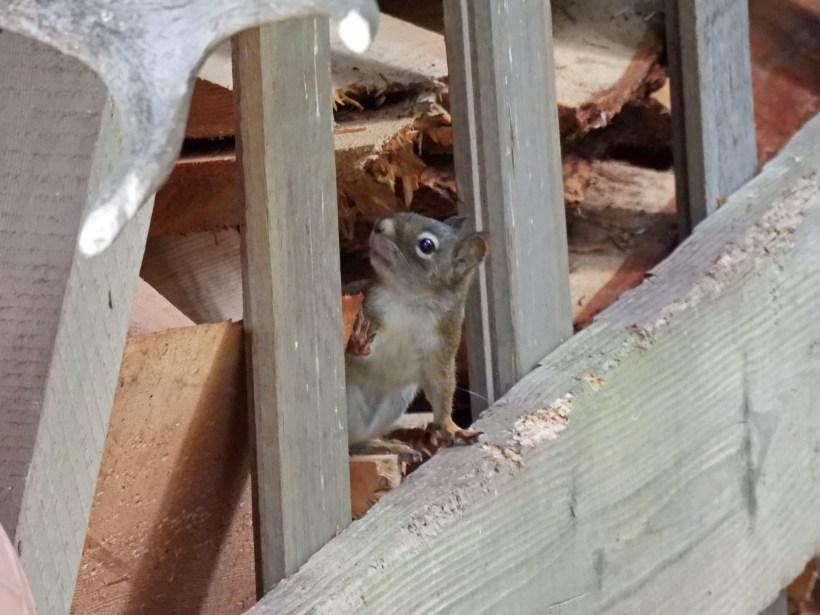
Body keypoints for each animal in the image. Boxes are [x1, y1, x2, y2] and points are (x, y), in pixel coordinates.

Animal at [344, 212, 489, 463]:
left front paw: (451, 427)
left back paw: (385, 446)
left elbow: (441, 387)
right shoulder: (370, 309)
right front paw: (357, 341)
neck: (410, 299)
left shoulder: (443, 348)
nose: (379, 225)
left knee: (355, 445)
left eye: (426, 245)